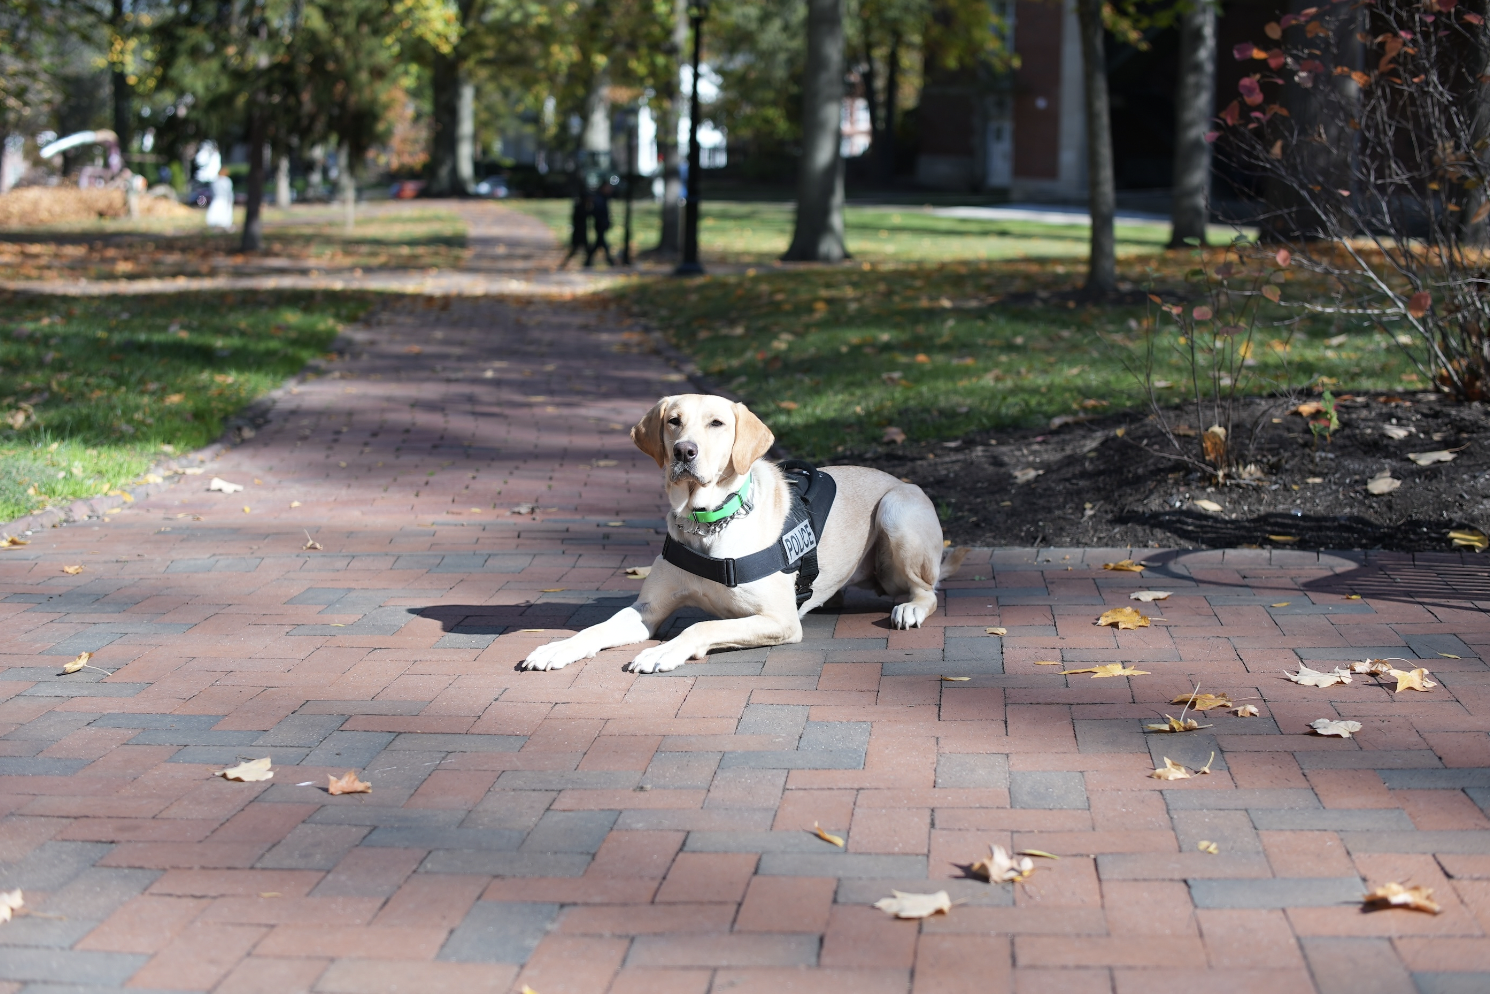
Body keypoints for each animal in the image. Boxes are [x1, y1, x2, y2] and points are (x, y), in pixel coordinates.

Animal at [524, 393, 965, 673]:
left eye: (717, 423)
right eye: (673, 421)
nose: (684, 451)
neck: (706, 522)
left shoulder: (780, 619)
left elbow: (701, 626)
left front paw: (661, 654)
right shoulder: (647, 611)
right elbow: (595, 629)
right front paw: (557, 647)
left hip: (896, 510)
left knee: (926, 590)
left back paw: (909, 608)